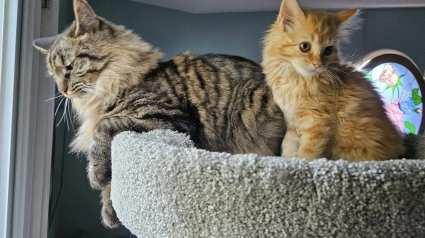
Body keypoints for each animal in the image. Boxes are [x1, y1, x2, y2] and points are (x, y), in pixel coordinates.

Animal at [34, 0, 284, 228]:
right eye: (54, 74)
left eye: (70, 67)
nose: (62, 90)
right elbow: (112, 175)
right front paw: (110, 209)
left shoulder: (172, 120)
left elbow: (106, 125)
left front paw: (96, 176)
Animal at [262, 0, 404, 163]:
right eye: (305, 46)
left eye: (328, 50)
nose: (318, 64)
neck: (297, 81)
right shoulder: (292, 124)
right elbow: (288, 147)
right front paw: (287, 162)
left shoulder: (318, 124)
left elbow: (306, 154)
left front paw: (303, 165)